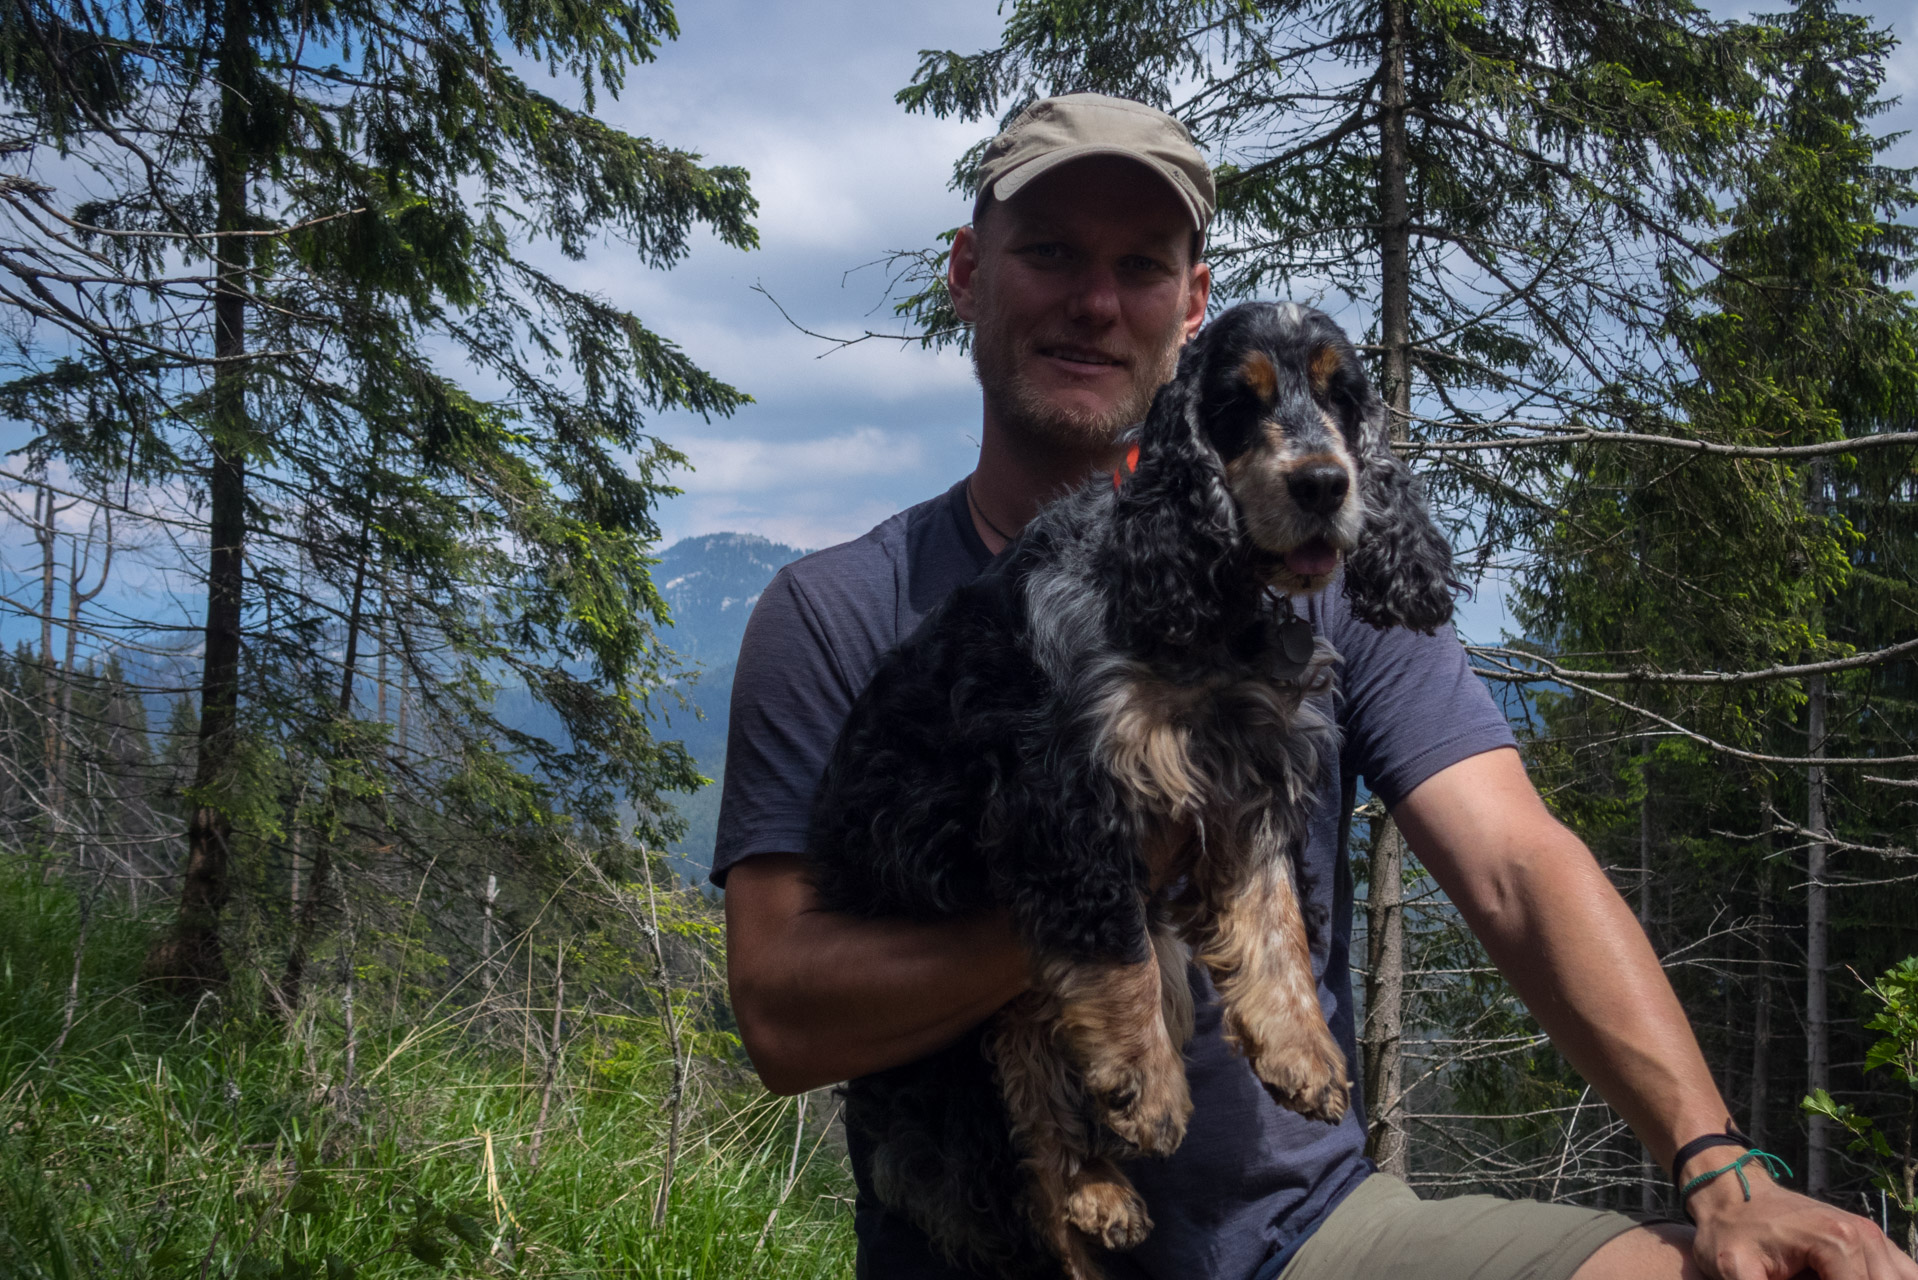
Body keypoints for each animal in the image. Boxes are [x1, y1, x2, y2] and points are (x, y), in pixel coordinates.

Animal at [805, 303, 1450, 1280]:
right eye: (1237, 403)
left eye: (1342, 397)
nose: (1325, 484)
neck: (1205, 608)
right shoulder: (1063, 799)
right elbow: (1117, 952)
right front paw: (1148, 1090)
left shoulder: (1249, 774)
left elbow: (1272, 919)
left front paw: (1300, 1049)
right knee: (1024, 1088)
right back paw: (1094, 1194)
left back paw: (1102, 1194)